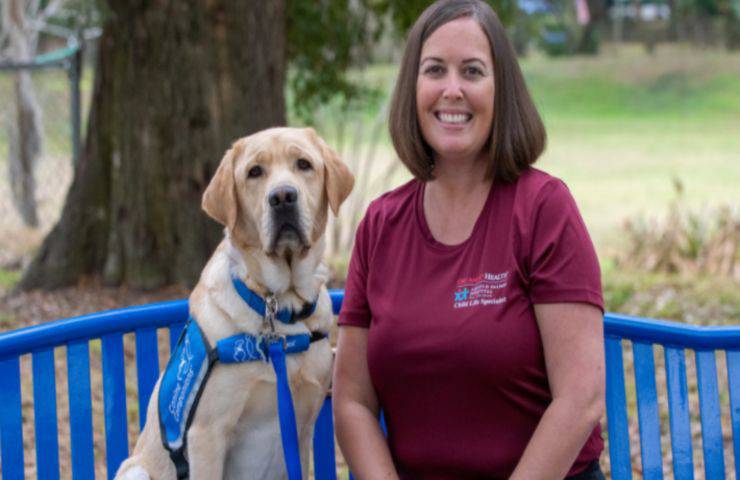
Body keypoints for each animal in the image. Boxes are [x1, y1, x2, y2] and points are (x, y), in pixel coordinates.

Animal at [115, 127, 356, 480]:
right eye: (254, 172)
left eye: (304, 164)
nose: (282, 197)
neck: (278, 307)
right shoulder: (206, 433)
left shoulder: (302, 429)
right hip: (136, 470)